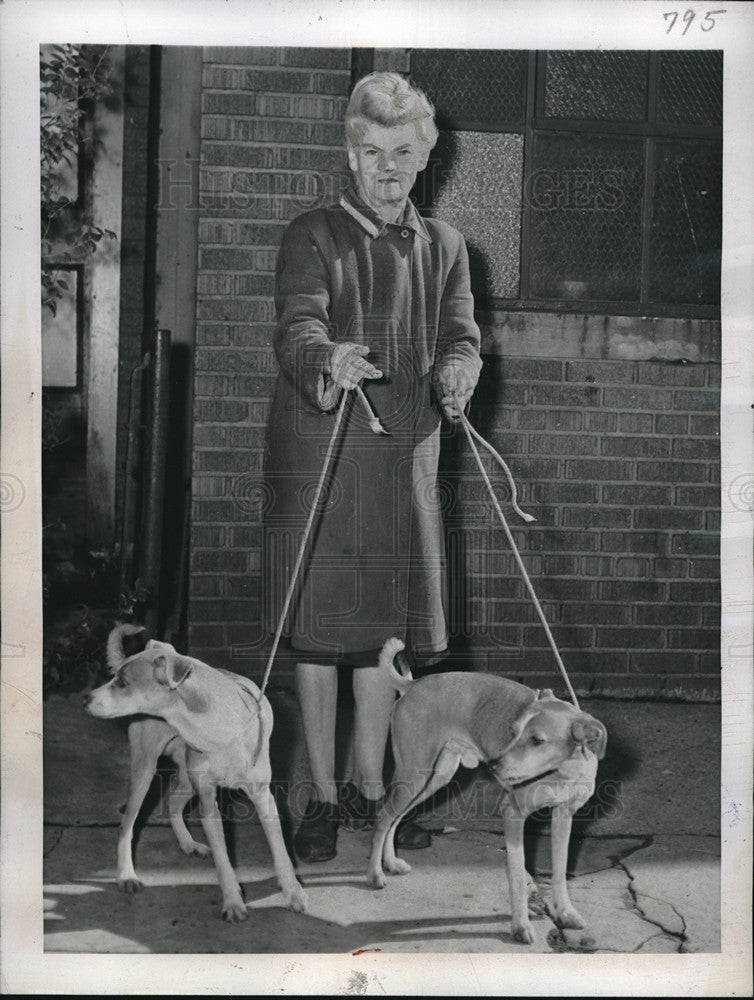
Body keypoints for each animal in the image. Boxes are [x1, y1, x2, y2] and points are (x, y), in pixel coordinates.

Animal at [83, 624, 304, 920]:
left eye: (122, 683)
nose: (86, 698)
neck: (216, 728)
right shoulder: (209, 804)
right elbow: (223, 860)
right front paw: (233, 901)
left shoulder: (263, 798)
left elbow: (281, 852)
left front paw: (293, 892)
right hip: (145, 768)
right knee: (126, 825)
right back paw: (126, 875)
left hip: (187, 778)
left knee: (173, 803)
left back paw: (188, 844)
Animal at [366, 640, 604, 944]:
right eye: (513, 731)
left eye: (537, 740)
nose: (494, 766)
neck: (562, 772)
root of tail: (413, 684)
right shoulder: (513, 815)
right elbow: (518, 875)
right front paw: (520, 926)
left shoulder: (563, 816)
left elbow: (560, 870)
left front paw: (565, 913)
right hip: (414, 775)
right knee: (384, 817)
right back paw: (375, 874)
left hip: (432, 779)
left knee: (394, 819)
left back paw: (391, 863)